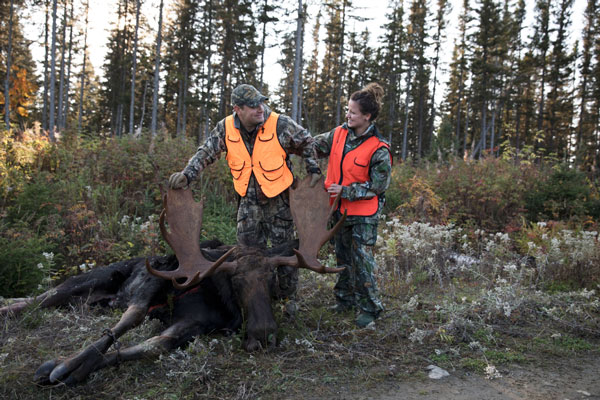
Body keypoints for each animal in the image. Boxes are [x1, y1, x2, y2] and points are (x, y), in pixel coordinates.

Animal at [0, 177, 344, 386]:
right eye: (235, 280)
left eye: (271, 279)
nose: (263, 334)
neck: (217, 296)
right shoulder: (158, 281)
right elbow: (130, 318)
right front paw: (63, 365)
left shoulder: (194, 325)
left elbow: (153, 347)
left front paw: (81, 369)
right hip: (88, 279)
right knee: (40, 298)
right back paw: (8, 307)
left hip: (89, 301)